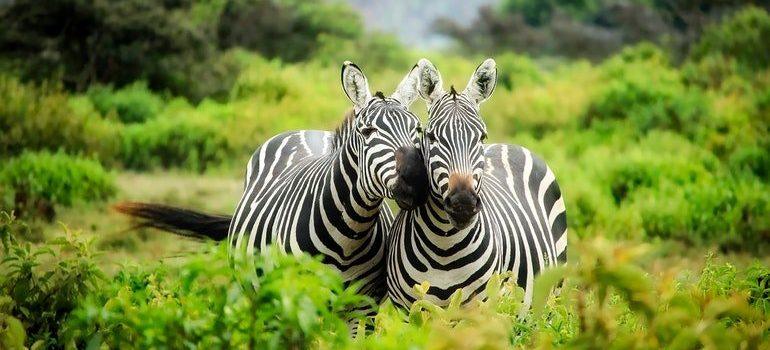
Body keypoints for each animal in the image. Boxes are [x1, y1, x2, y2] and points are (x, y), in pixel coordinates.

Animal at [121, 60, 432, 300]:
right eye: (367, 132)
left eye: (417, 129)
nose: (417, 181)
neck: (349, 234)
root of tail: (305, 130)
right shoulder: (298, 298)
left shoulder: (361, 307)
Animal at [388, 58, 568, 308]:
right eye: (431, 137)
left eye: (482, 136)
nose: (463, 204)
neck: (444, 248)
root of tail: (510, 145)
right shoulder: (409, 310)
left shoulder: (481, 307)